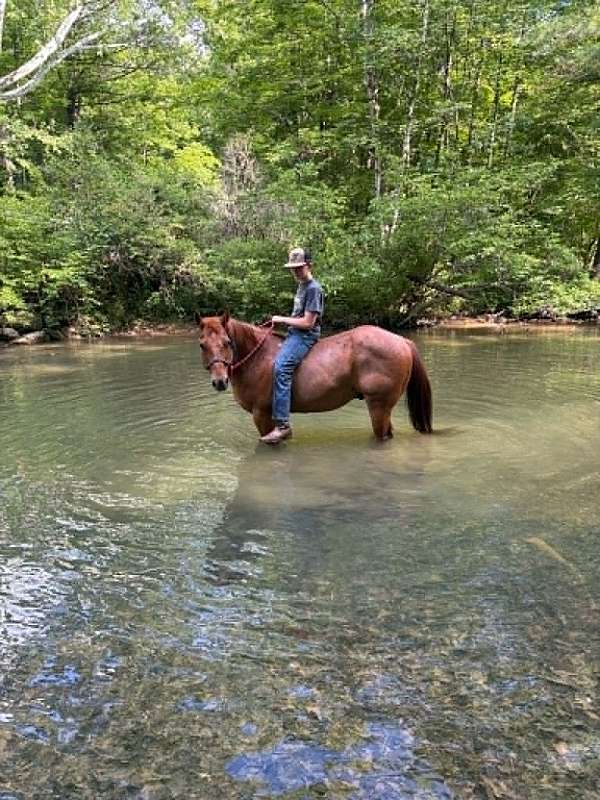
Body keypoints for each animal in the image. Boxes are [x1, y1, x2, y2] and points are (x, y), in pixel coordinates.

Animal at [196, 312, 432, 441]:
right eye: (202, 345)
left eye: (227, 342)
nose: (219, 381)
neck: (258, 357)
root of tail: (402, 341)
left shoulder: (261, 414)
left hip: (379, 406)